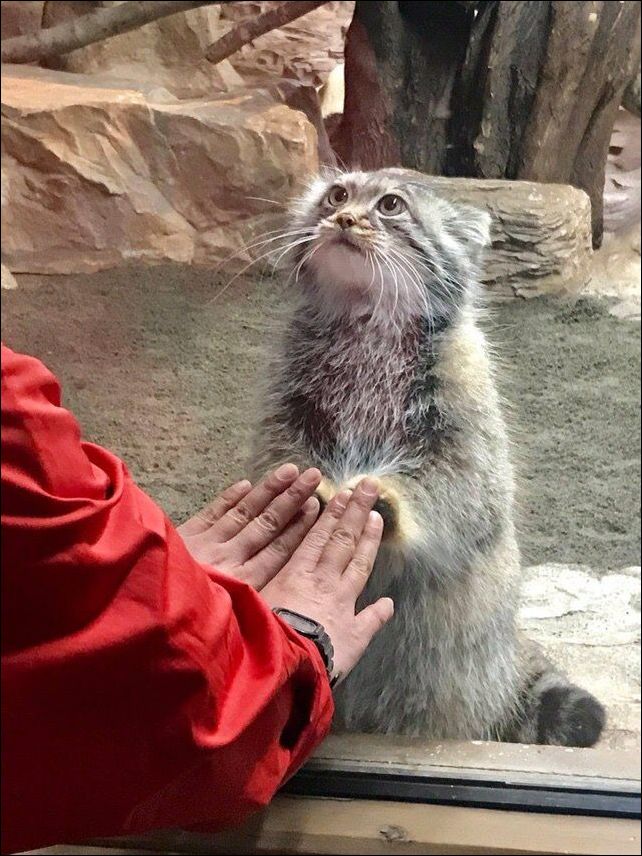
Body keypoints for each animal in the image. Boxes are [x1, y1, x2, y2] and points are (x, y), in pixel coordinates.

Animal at [249, 168, 605, 746]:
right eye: (338, 195)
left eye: (391, 205)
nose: (343, 219)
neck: (367, 322)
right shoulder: (283, 407)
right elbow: (279, 458)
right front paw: (314, 488)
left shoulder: (467, 424)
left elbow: (463, 491)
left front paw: (385, 501)